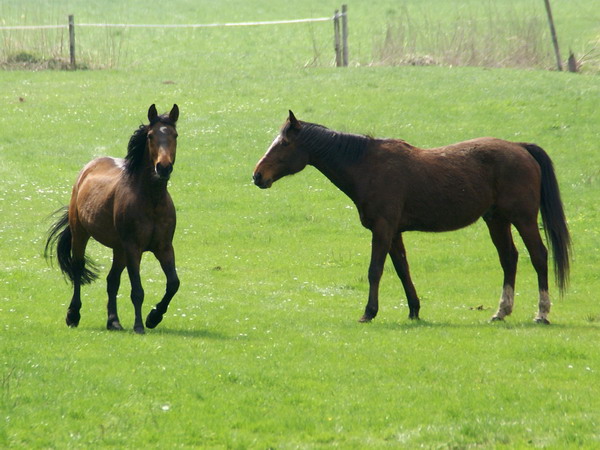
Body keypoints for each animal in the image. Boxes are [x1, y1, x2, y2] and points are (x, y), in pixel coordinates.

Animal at [46, 103, 180, 332]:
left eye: (175, 135)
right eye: (151, 136)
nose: (163, 167)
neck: (151, 200)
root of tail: (88, 168)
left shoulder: (163, 247)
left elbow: (173, 284)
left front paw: (153, 317)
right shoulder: (134, 248)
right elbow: (137, 290)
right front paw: (139, 326)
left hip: (119, 249)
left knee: (112, 280)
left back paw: (114, 321)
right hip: (81, 234)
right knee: (78, 268)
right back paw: (73, 315)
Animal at [253, 111, 572, 324]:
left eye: (284, 144)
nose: (257, 175)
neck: (367, 165)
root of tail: (520, 147)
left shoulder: (382, 229)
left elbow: (375, 270)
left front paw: (369, 312)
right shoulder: (394, 232)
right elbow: (402, 269)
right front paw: (414, 310)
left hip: (523, 219)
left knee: (539, 256)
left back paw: (542, 313)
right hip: (496, 220)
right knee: (509, 258)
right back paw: (501, 311)